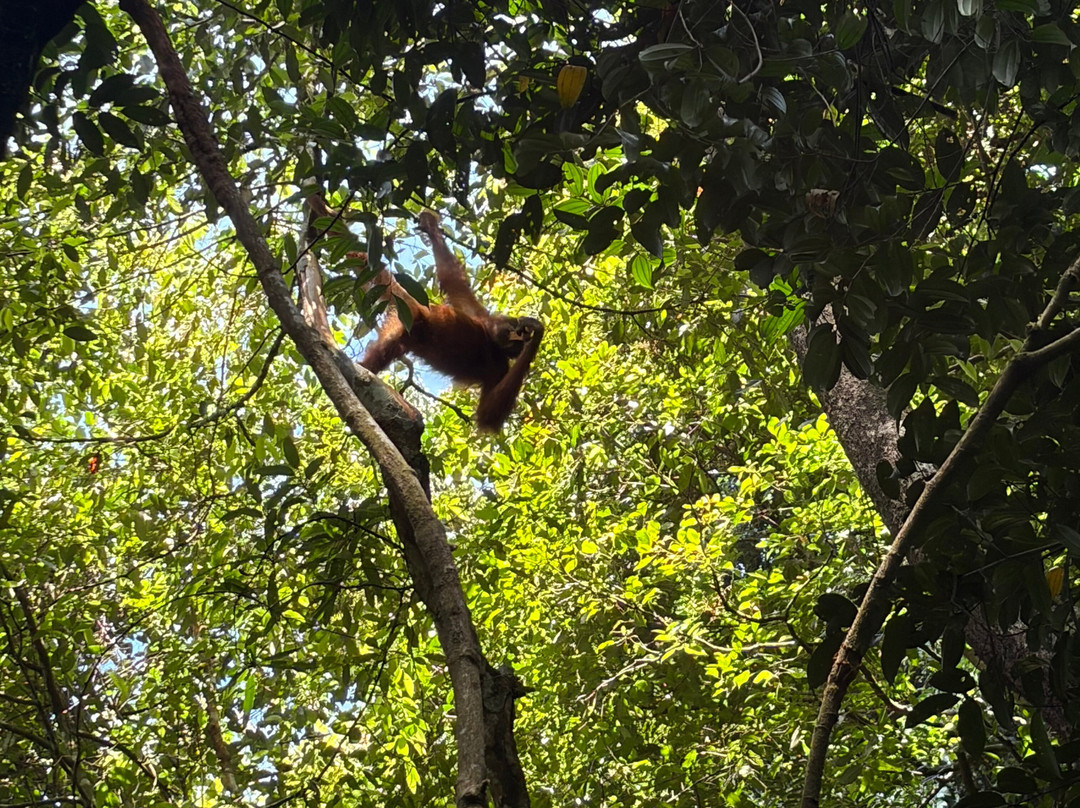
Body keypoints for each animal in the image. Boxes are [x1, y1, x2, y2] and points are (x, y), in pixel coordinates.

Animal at [307, 197, 544, 432]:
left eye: (520, 337)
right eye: (514, 330)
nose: (519, 338)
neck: (489, 338)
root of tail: (410, 304)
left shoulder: (498, 363)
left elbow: (488, 415)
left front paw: (536, 335)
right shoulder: (481, 318)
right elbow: (454, 282)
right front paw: (431, 227)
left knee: (387, 348)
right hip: (409, 318)